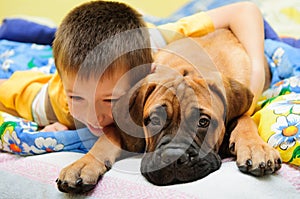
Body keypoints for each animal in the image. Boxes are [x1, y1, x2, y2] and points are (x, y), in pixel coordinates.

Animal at [56, 29, 282, 193]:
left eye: (203, 122)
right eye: (154, 120)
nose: (175, 158)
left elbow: (245, 119)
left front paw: (256, 148)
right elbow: (105, 140)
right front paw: (83, 164)